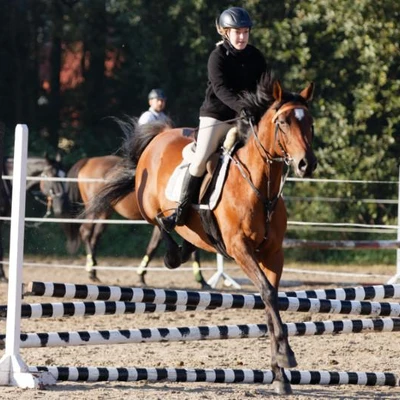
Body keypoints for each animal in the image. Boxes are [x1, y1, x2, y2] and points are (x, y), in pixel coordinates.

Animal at [40, 153, 209, 288]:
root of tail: (88, 161)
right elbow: (156, 246)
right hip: (95, 209)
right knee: (86, 232)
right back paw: (91, 271)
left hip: (105, 212)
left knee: (95, 237)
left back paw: (93, 271)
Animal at [86, 74, 318, 394]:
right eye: (282, 122)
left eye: (310, 121)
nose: (307, 164)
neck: (261, 188)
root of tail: (160, 136)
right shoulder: (239, 248)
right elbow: (267, 293)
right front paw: (285, 356)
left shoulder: (273, 254)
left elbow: (271, 300)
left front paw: (280, 374)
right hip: (146, 203)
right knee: (160, 223)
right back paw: (173, 252)